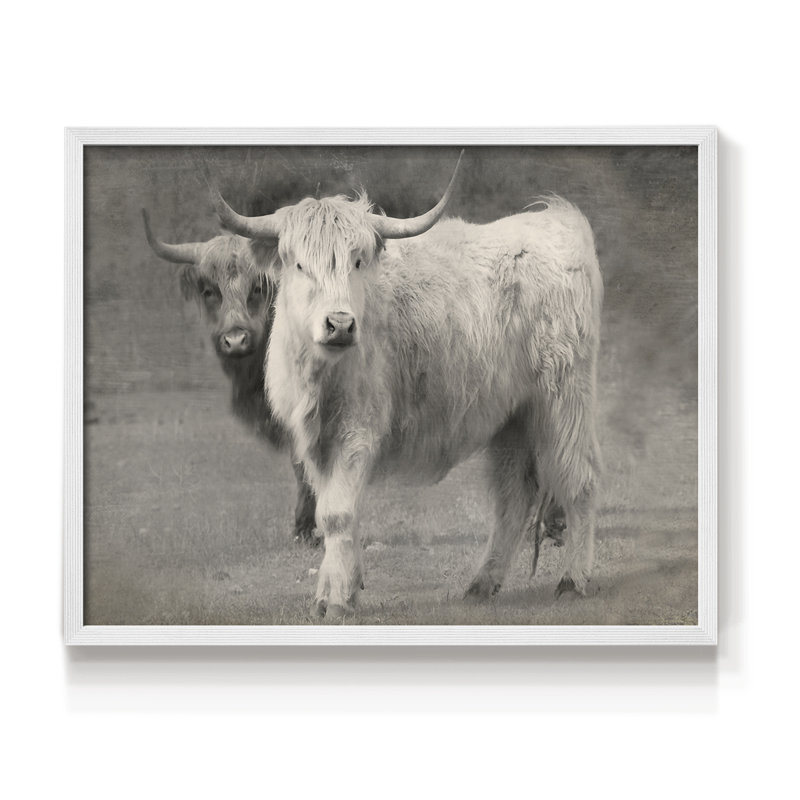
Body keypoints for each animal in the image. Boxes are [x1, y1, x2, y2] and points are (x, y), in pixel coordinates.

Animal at [211, 154, 602, 619]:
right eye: (299, 264)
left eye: (358, 261)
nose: (340, 324)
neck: (322, 375)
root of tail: (554, 220)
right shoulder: (315, 442)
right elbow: (329, 512)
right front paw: (337, 590)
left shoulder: (357, 432)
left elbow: (338, 514)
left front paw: (337, 602)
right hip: (512, 417)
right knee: (514, 497)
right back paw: (481, 584)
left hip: (564, 400)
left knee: (579, 480)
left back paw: (573, 581)